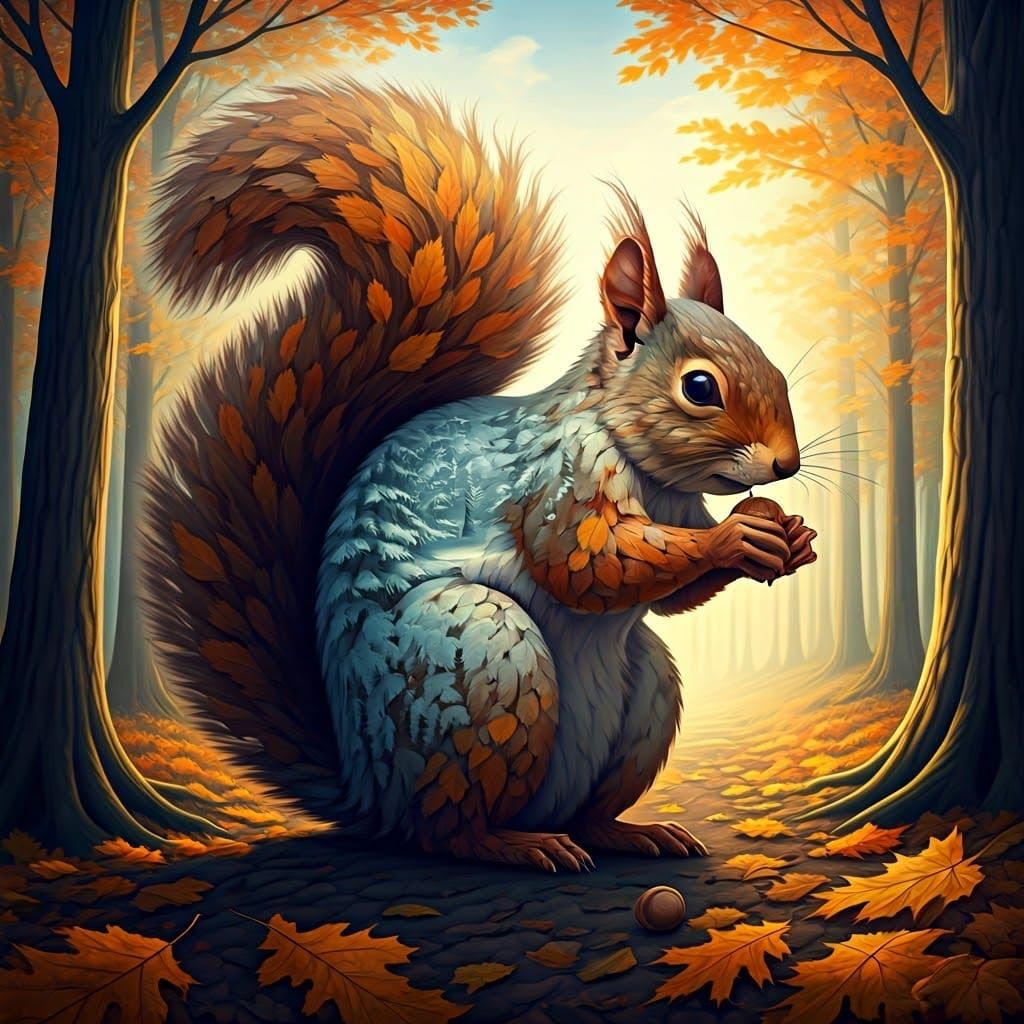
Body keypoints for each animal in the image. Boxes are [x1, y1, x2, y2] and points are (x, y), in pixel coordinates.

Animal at [143, 80, 817, 872]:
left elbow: (675, 596)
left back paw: (630, 831)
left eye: (776, 368)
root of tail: (369, 792)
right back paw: (518, 844)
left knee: (590, 807)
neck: (650, 471)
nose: (785, 465)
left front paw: (782, 536)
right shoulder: (557, 480)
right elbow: (588, 564)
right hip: (484, 661)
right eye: (701, 387)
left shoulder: (676, 509)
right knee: (445, 832)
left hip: (645, 691)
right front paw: (739, 537)